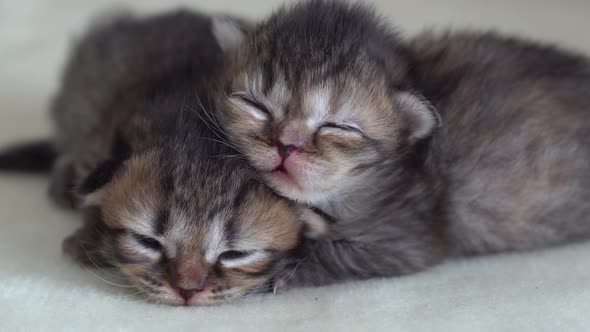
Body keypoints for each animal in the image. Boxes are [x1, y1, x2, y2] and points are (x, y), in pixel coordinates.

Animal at [216, 0, 590, 286]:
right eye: (254, 104)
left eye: (338, 126)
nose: (286, 144)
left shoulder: (406, 235)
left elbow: (337, 250)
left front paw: (282, 266)